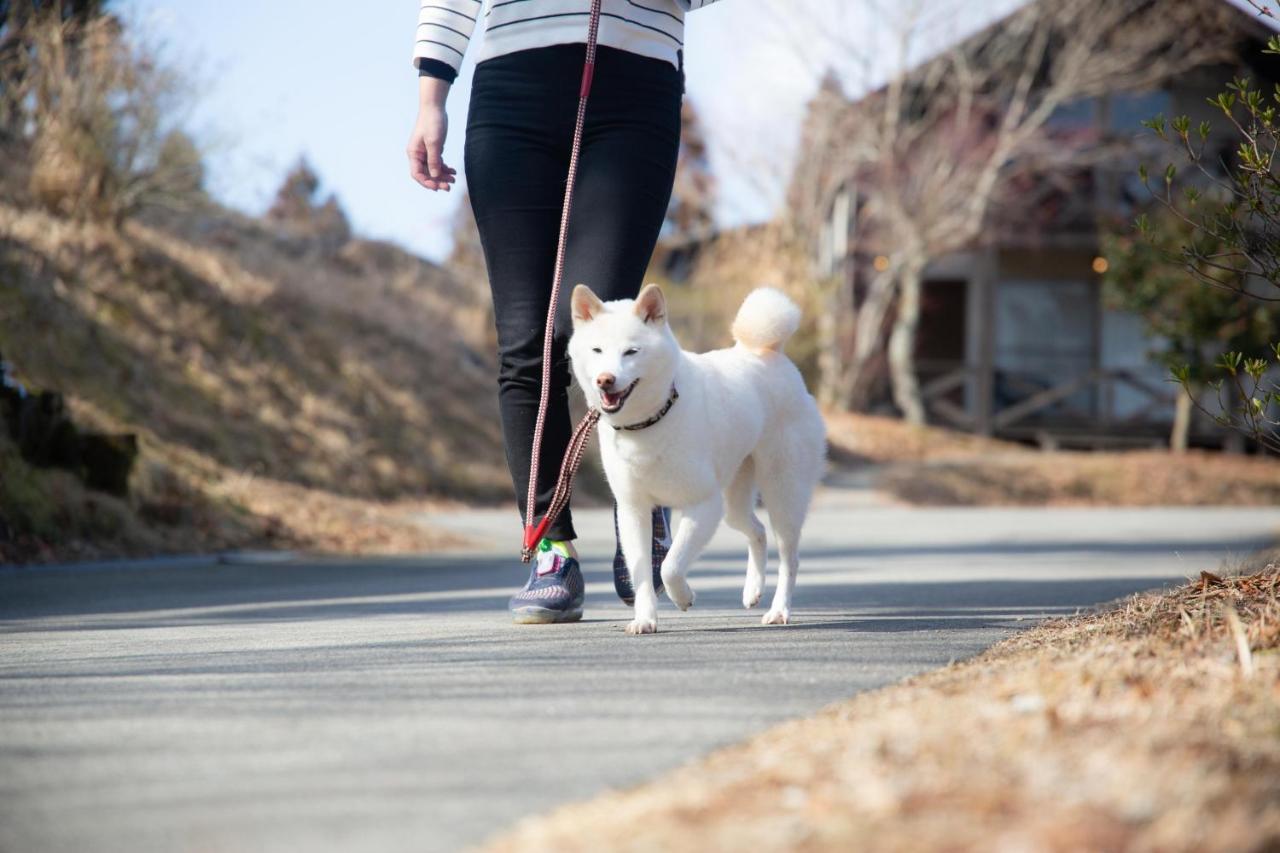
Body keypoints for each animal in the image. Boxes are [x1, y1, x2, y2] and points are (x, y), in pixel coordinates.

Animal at [573, 284, 829, 630]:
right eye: (597, 350)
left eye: (631, 352)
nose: (605, 379)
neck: (650, 420)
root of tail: (769, 352)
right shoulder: (633, 511)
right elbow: (641, 572)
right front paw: (645, 619)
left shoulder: (704, 504)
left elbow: (669, 566)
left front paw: (683, 597)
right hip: (734, 503)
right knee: (757, 531)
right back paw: (752, 589)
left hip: (782, 494)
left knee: (790, 557)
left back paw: (778, 610)